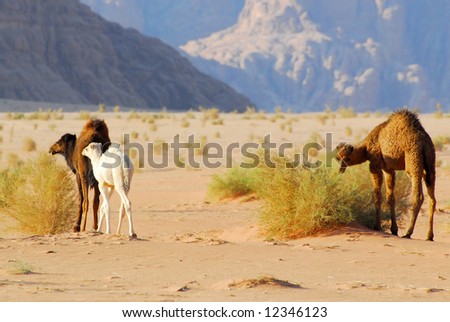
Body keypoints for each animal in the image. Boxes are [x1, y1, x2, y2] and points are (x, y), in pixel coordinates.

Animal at [338, 109, 436, 240]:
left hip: (413, 161)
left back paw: (408, 233)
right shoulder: (388, 169)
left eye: (347, 158)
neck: (366, 147)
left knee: (418, 196)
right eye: (338, 158)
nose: (340, 169)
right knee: (432, 198)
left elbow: (377, 195)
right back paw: (429, 235)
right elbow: (390, 197)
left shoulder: (375, 164)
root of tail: (424, 143)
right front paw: (394, 230)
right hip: (430, 164)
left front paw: (376, 226)